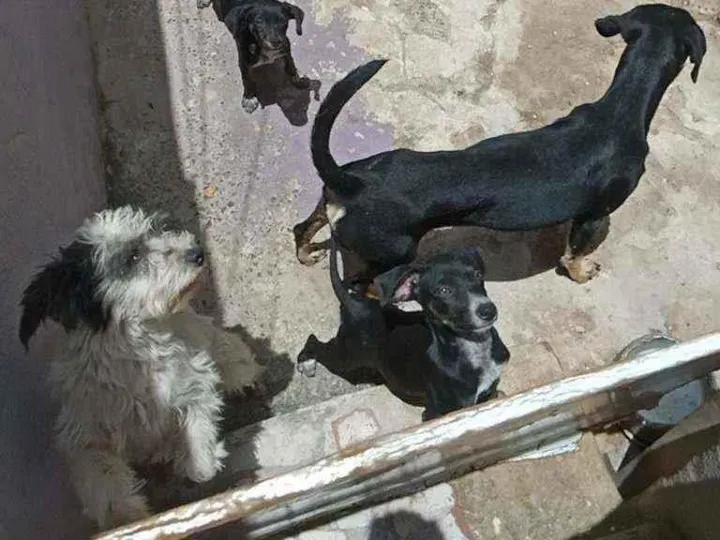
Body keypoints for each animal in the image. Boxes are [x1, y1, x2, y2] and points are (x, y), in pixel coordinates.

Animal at [18, 206, 264, 530]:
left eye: (154, 232)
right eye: (132, 257)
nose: (197, 252)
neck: (140, 347)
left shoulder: (194, 384)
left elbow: (198, 442)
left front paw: (198, 462)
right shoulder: (84, 434)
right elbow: (102, 478)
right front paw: (127, 516)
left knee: (224, 347)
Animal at [294, 4, 706, 284]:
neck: (621, 107)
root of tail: (353, 182)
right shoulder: (595, 215)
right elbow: (573, 254)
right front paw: (581, 271)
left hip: (331, 206)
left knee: (303, 228)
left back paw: (305, 255)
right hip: (393, 251)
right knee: (362, 285)